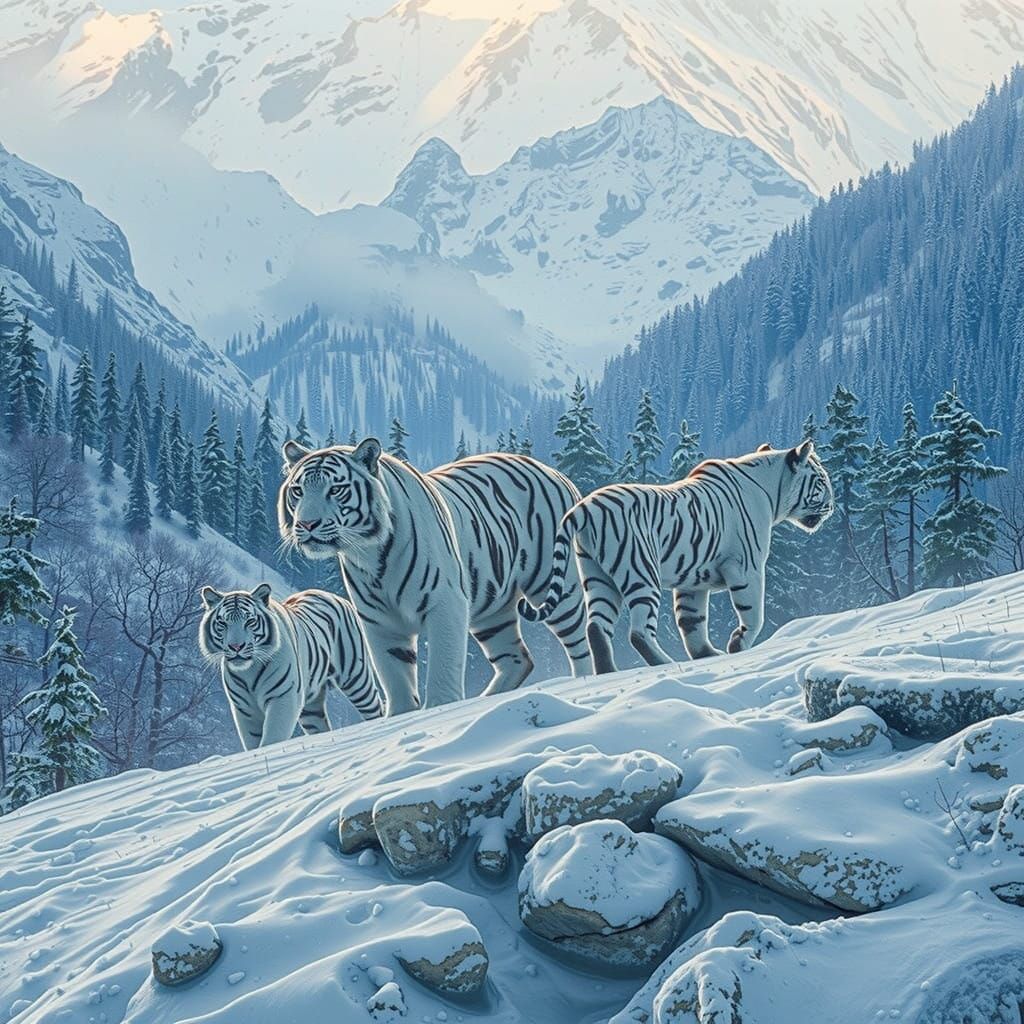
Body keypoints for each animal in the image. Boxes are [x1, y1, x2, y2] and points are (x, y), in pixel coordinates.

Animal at [199, 583, 383, 749]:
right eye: (223, 623)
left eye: (250, 621)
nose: (236, 647)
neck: (248, 671)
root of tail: (337, 596)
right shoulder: (244, 709)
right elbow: (253, 743)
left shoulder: (283, 698)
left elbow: (272, 738)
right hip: (311, 709)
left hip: (356, 679)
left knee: (374, 707)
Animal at [277, 440, 590, 711]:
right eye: (298, 491)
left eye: (335, 489)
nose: (307, 524)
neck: (370, 554)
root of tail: (554, 472)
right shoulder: (379, 622)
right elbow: (395, 679)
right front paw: (402, 715)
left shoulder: (446, 604)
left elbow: (443, 664)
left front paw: (441, 707)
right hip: (492, 610)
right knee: (517, 658)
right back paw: (486, 700)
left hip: (553, 584)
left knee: (580, 641)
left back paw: (587, 680)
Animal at [519, 440, 834, 673]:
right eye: (821, 480)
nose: (831, 506)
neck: (770, 489)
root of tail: (585, 507)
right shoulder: (748, 567)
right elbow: (754, 613)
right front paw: (736, 646)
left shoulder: (692, 581)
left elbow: (691, 622)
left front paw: (708, 654)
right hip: (641, 572)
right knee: (638, 632)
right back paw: (665, 664)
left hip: (597, 577)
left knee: (596, 627)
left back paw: (609, 672)